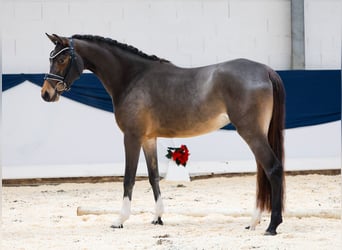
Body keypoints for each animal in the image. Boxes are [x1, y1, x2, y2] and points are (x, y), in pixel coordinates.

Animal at [40, 32, 286, 234]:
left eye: (61, 59)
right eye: (51, 58)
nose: (46, 93)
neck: (132, 78)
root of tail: (265, 71)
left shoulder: (132, 137)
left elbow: (128, 178)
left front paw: (120, 219)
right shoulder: (149, 139)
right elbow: (153, 176)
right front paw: (157, 218)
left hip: (251, 132)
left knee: (272, 168)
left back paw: (272, 226)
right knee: (263, 172)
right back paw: (253, 222)